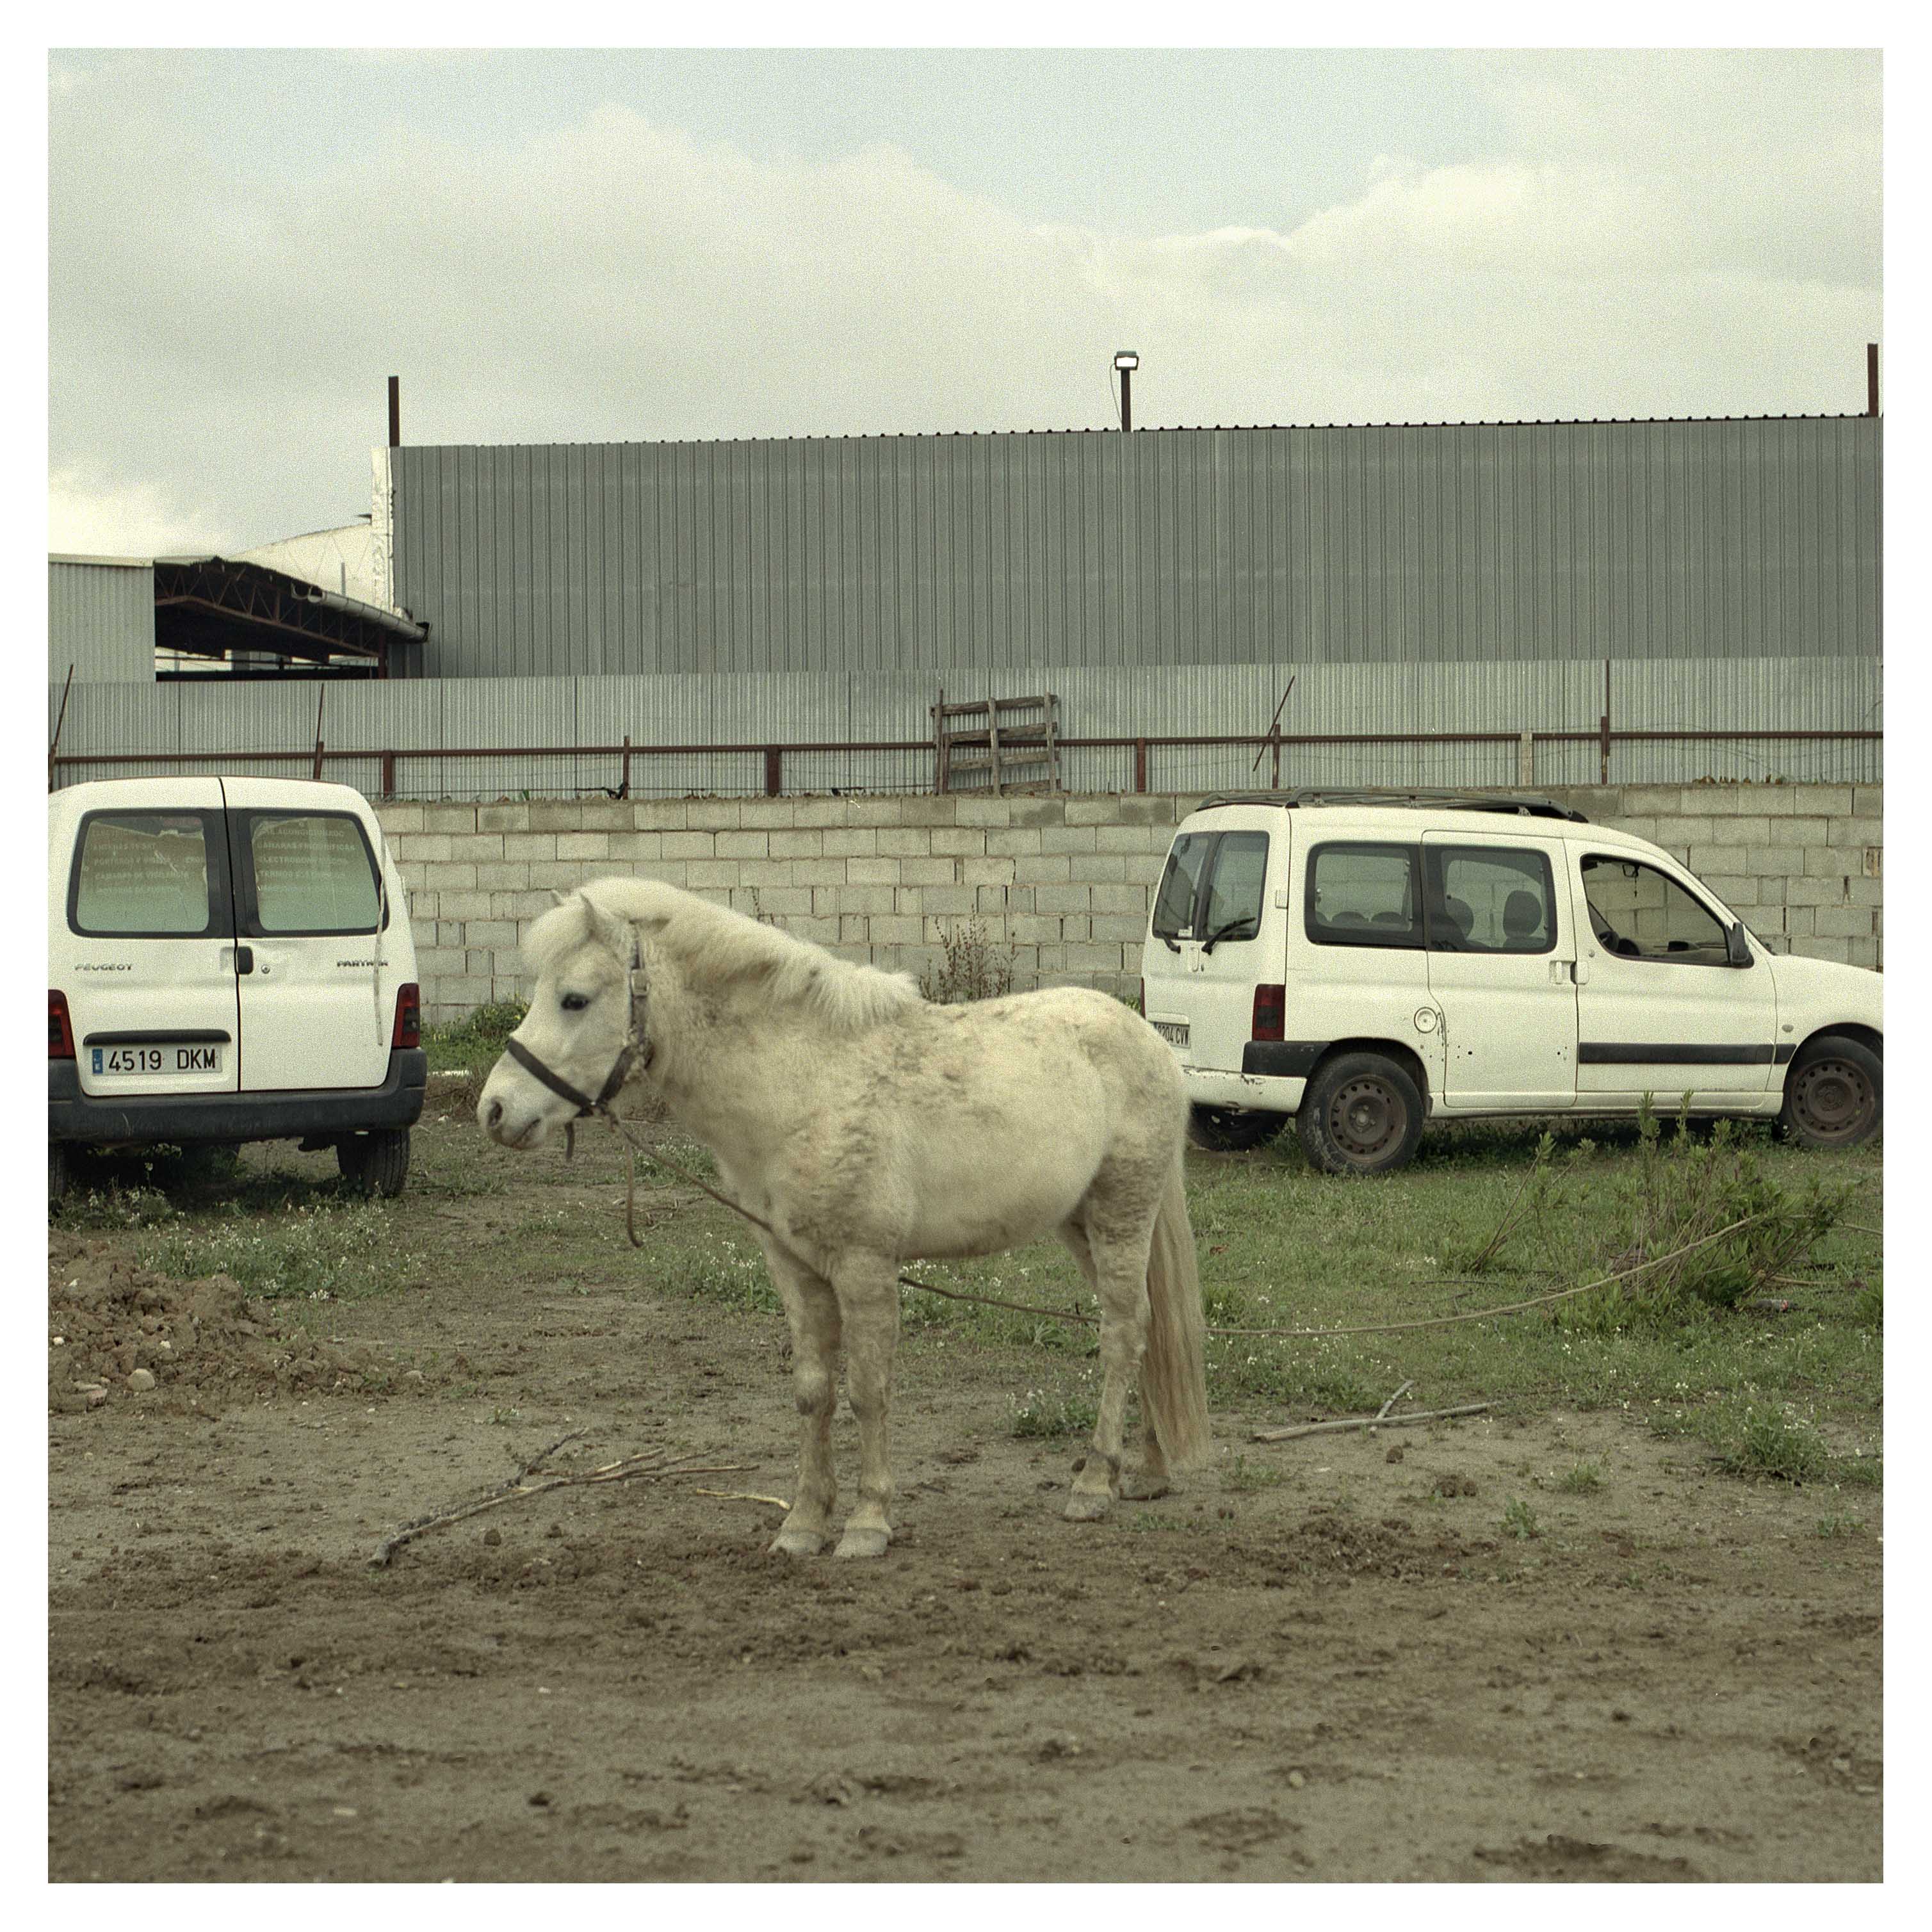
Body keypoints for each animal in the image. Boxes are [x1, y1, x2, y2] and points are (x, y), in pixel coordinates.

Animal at [479, 884, 1205, 1561]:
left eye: (573, 999)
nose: (494, 1109)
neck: (804, 1083)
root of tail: (1148, 1040)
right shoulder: (794, 1269)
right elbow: (812, 1393)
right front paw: (802, 1523)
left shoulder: (863, 1268)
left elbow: (867, 1392)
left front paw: (867, 1522)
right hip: (1078, 1225)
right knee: (1143, 1329)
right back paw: (1144, 1471)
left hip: (1120, 1213)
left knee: (1120, 1334)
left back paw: (1094, 1483)